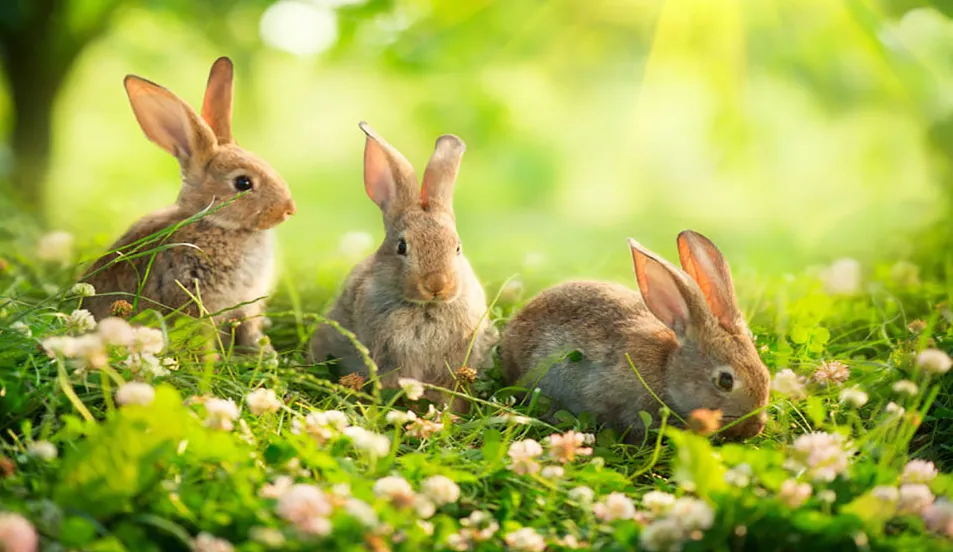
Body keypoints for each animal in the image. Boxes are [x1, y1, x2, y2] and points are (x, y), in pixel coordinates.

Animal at [81, 57, 296, 350]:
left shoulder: (246, 307)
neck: (215, 222)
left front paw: (261, 351)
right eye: (243, 183)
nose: (289, 209)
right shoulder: (193, 297)